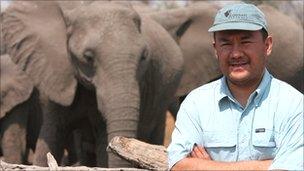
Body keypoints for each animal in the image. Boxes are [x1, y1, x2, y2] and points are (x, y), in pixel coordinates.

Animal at [0, 0, 183, 168]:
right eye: (88, 57)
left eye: (144, 56)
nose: (116, 144)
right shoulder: (55, 78)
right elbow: (50, 136)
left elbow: (102, 145)